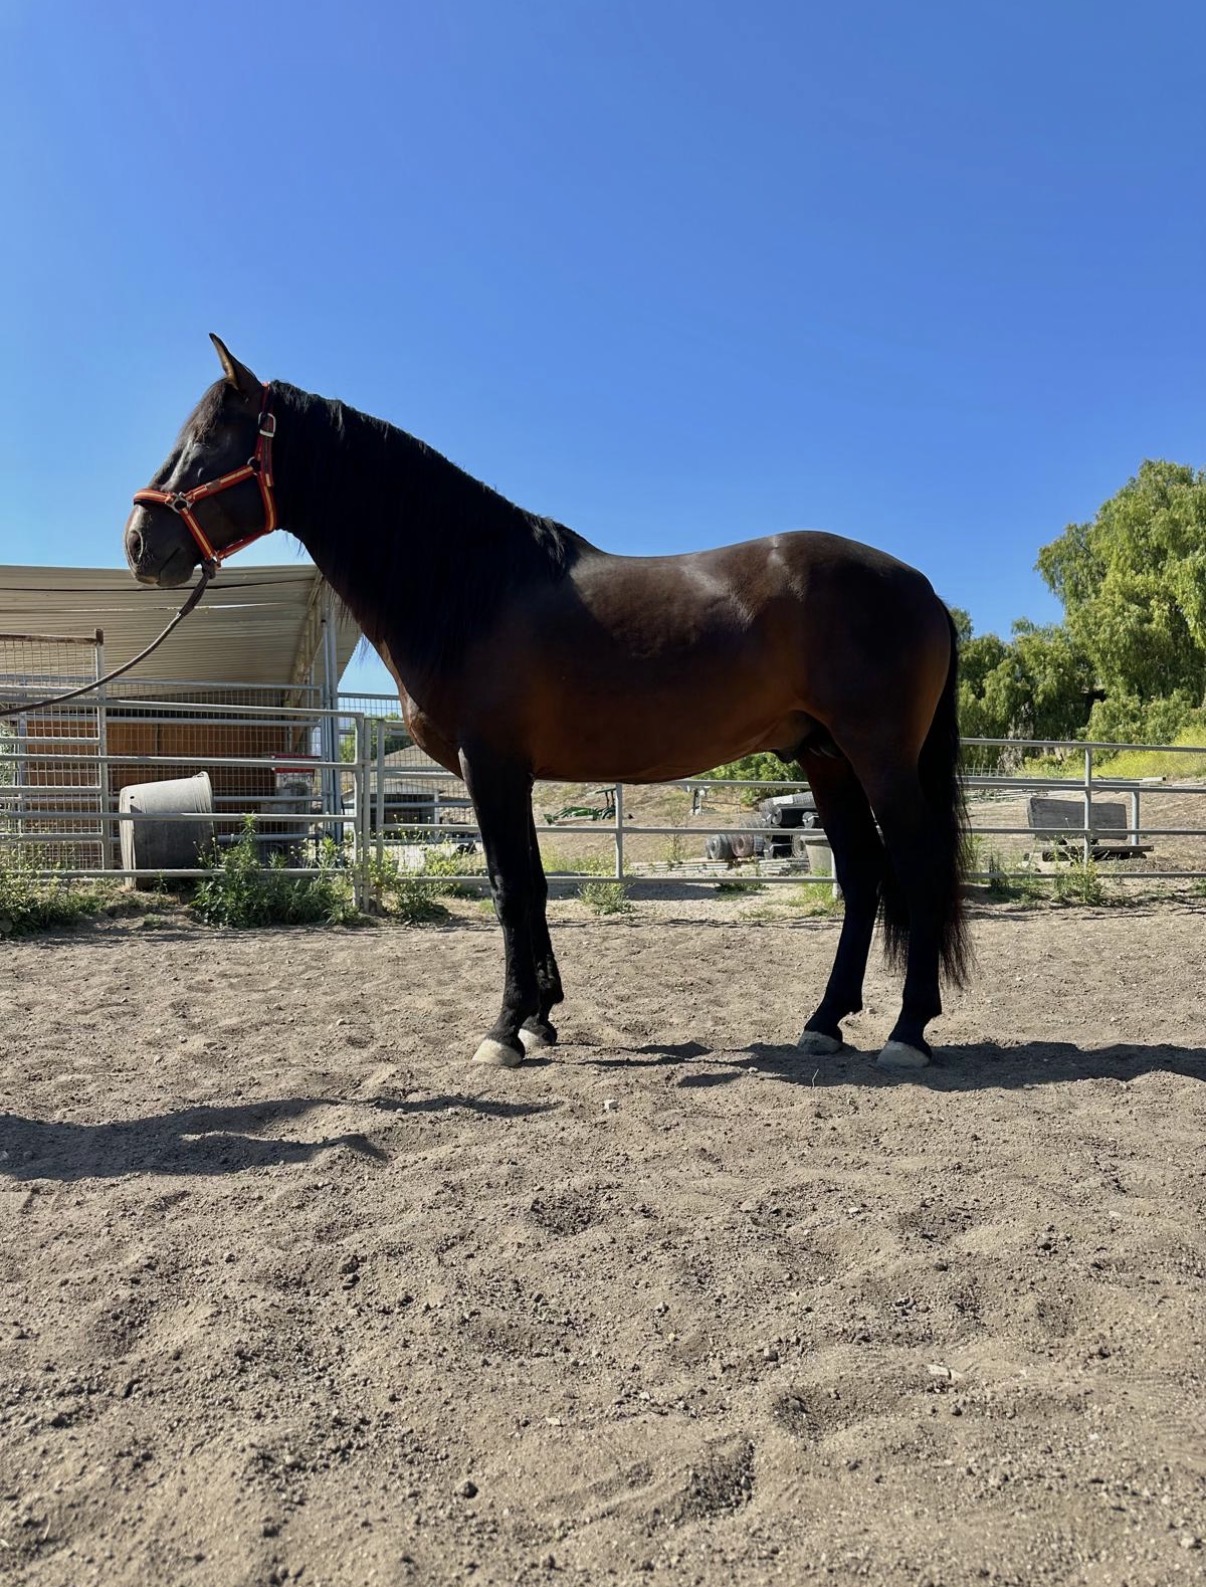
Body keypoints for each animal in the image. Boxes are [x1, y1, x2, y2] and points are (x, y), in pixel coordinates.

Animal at [125, 335, 970, 1070]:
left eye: (210, 439)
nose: (139, 540)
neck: (470, 584)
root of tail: (923, 587)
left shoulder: (490, 763)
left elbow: (510, 889)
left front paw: (504, 1030)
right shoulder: (513, 772)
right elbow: (529, 885)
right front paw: (540, 1017)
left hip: (877, 756)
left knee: (918, 865)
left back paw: (908, 1031)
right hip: (825, 757)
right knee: (862, 875)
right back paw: (824, 1021)